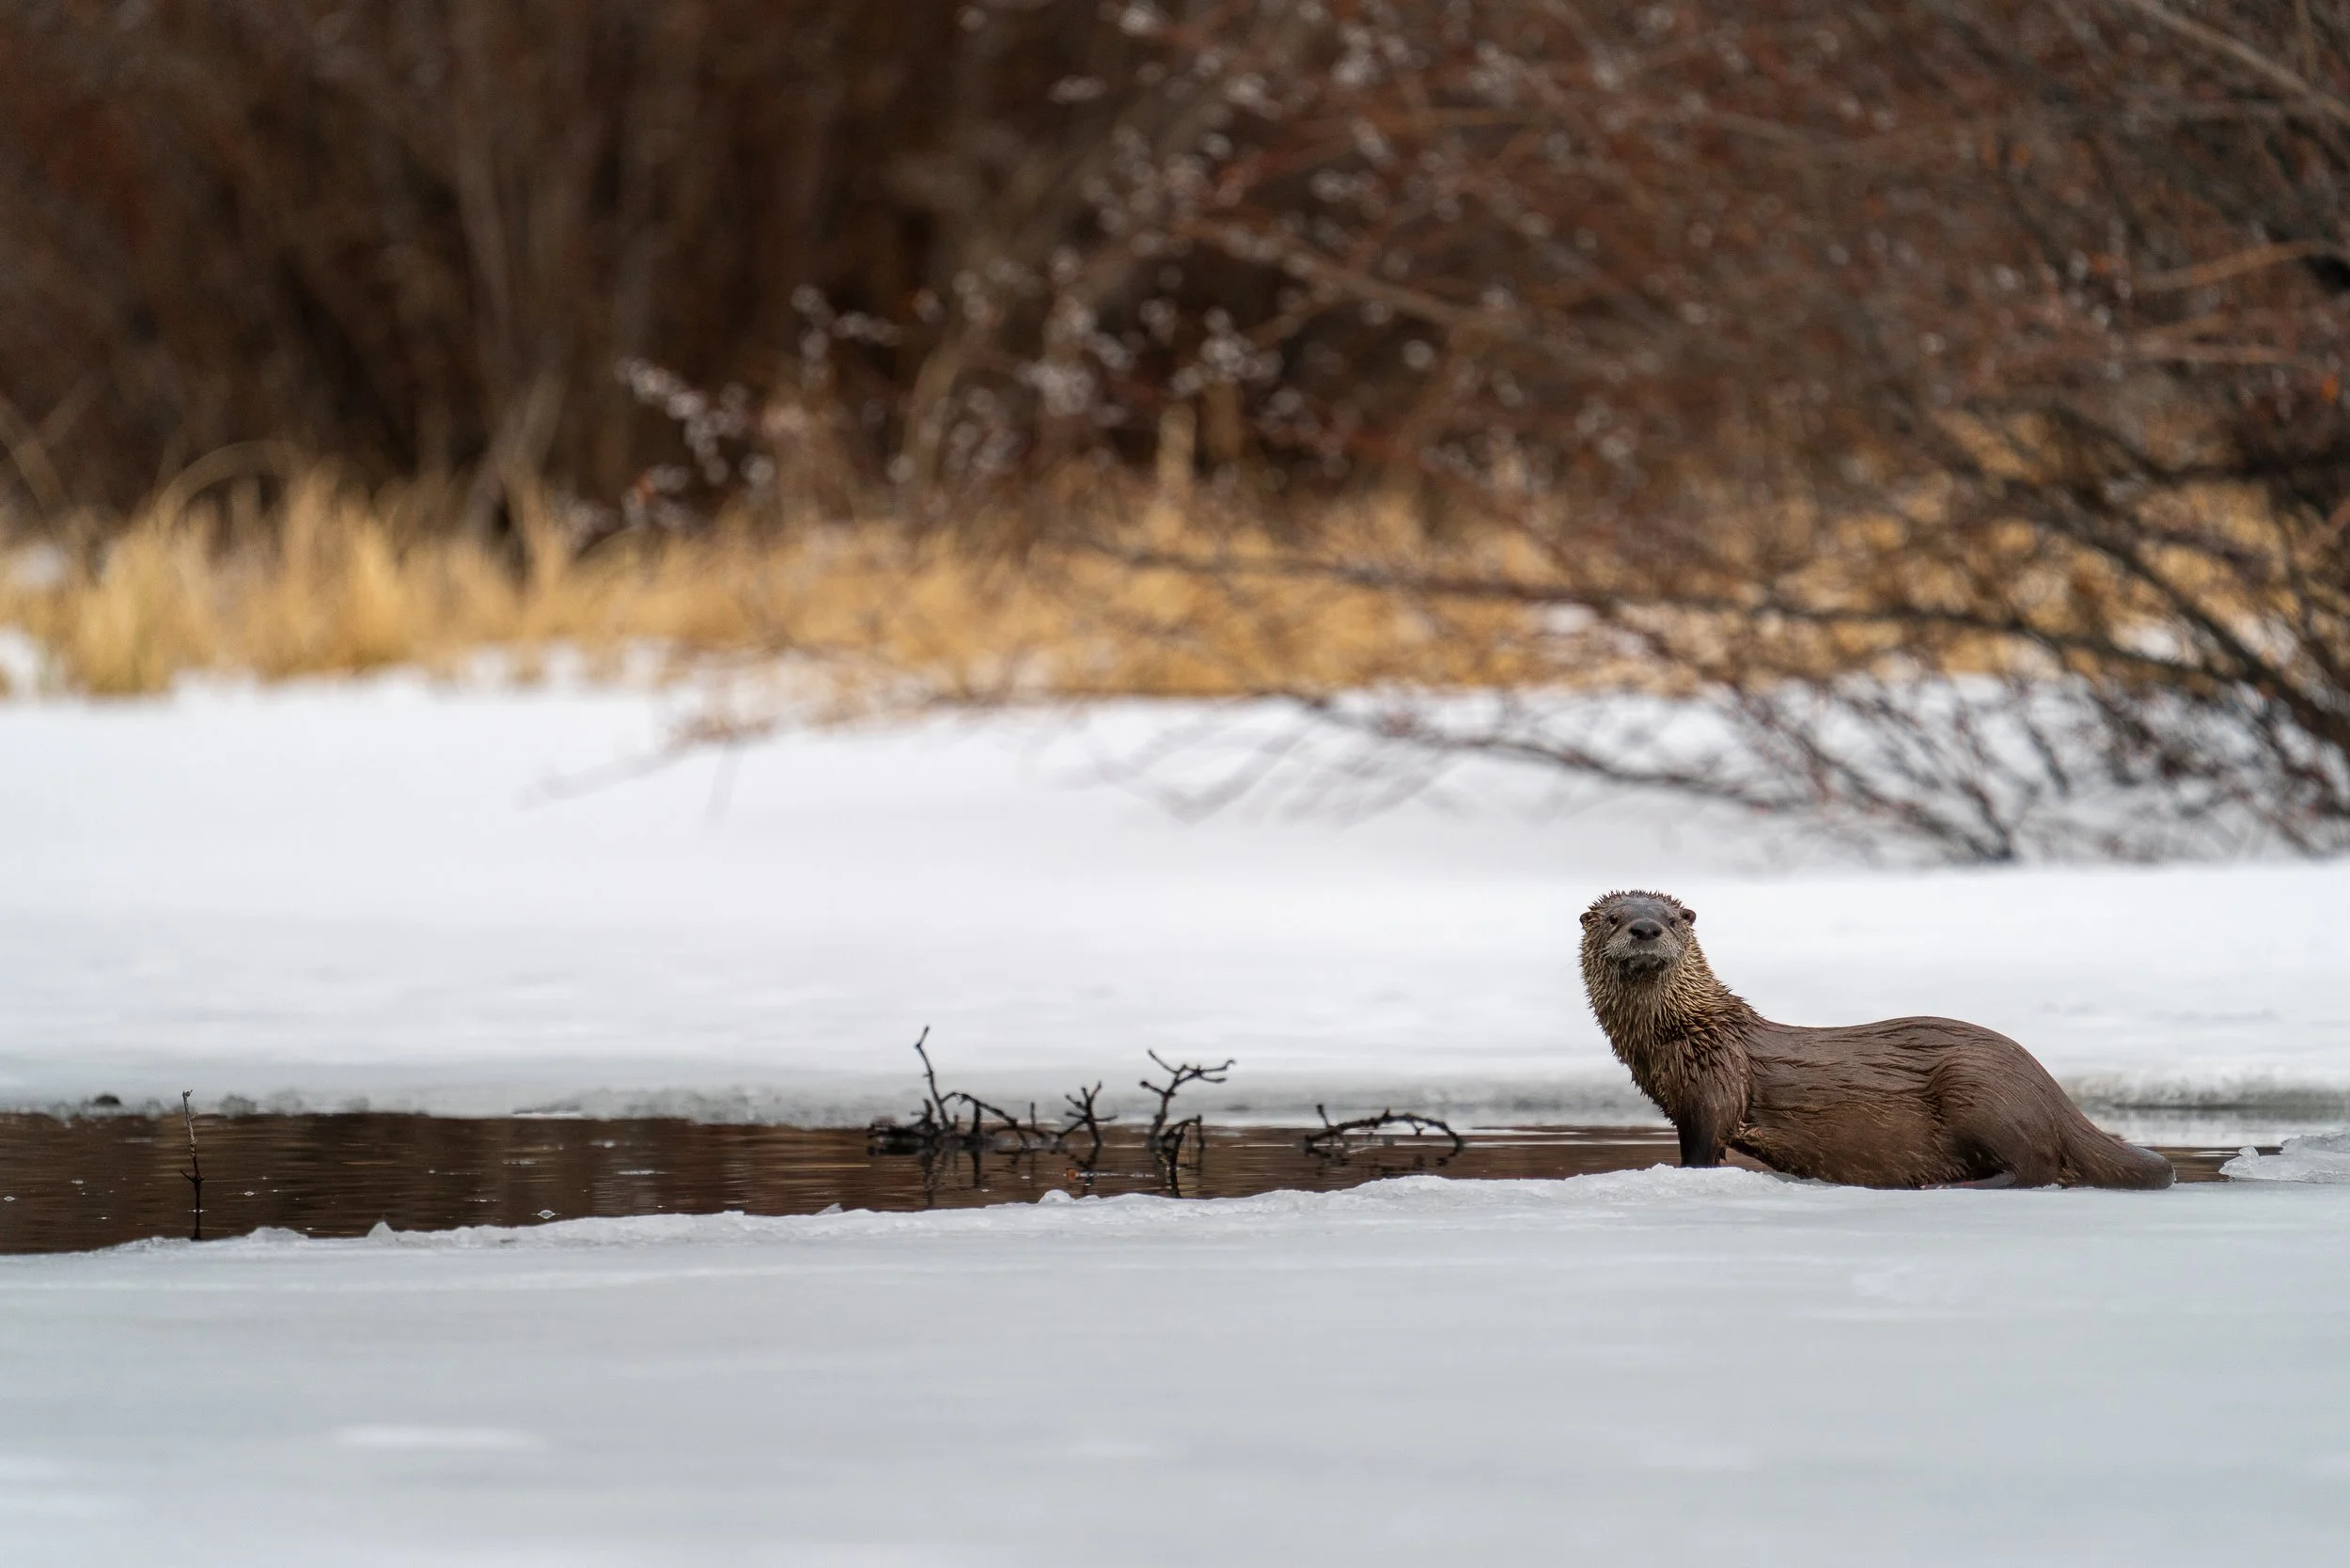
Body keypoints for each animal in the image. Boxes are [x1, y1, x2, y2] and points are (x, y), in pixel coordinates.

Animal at [1579, 889, 2173, 1190]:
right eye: (1613, 918)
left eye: (1674, 919)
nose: (1646, 929)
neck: (1689, 1032)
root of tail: (2053, 1092)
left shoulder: (1714, 1090)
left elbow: (1703, 1152)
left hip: (1981, 1088)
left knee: (2037, 1167)